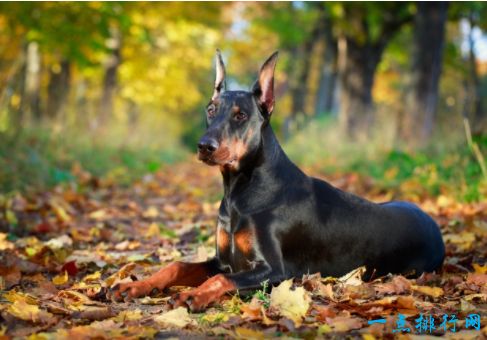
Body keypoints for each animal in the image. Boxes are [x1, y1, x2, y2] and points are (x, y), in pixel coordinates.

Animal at [112, 51, 448, 310]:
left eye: (240, 115)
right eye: (210, 110)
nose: (204, 146)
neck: (240, 192)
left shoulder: (276, 271)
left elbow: (222, 279)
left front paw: (194, 295)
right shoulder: (224, 259)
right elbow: (177, 265)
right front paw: (135, 285)